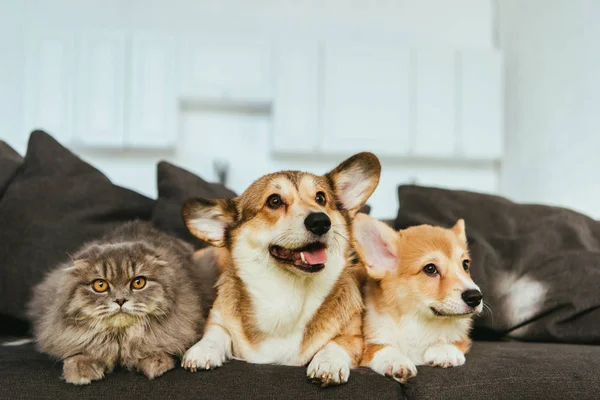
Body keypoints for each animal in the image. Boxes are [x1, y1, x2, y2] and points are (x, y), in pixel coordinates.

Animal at [27, 222, 211, 384]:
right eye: (100, 285)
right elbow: (79, 351)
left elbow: (157, 344)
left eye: (138, 283)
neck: (120, 338)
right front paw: (80, 371)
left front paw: (154, 362)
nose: (120, 300)